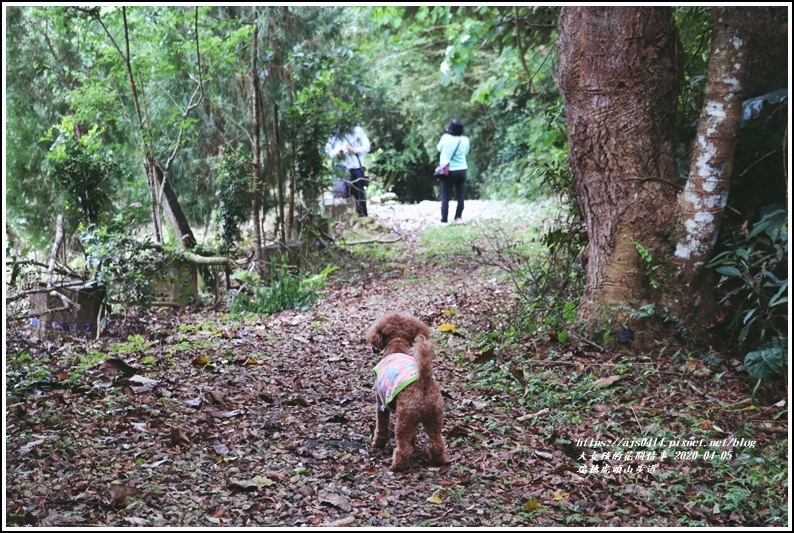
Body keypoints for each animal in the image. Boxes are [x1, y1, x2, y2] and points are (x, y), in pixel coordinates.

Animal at [366, 312, 446, 470]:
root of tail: (424, 382)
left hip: (404, 418)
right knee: (437, 442)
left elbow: (381, 426)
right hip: (435, 417)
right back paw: (438, 460)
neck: (398, 342)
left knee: (403, 448)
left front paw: (378, 443)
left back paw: (396, 466)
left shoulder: (380, 403)